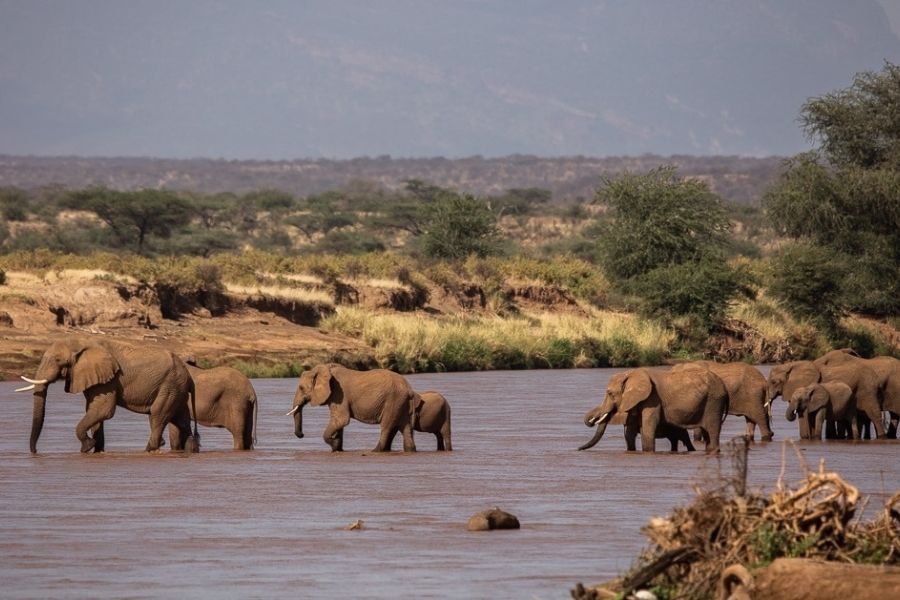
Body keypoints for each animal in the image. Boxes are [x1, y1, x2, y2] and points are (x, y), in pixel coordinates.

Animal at [15, 336, 199, 452]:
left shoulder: (109, 378)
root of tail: (189, 376)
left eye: (58, 360)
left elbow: (103, 410)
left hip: (170, 385)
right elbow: (93, 409)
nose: (35, 451)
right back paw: (189, 449)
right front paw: (96, 449)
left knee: (157, 415)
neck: (81, 342)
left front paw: (87, 446)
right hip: (176, 388)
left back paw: (150, 448)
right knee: (181, 420)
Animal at [284, 364, 418, 452]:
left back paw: (375, 451)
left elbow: (341, 420)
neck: (325, 369)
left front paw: (334, 445)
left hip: (393, 400)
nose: (302, 435)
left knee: (387, 426)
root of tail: (409, 389)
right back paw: (410, 450)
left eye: (301, 388)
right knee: (406, 427)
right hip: (401, 403)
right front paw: (337, 448)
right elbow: (339, 422)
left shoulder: (339, 393)